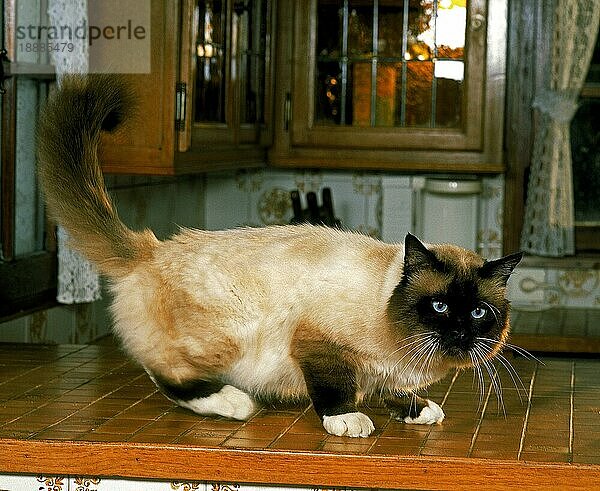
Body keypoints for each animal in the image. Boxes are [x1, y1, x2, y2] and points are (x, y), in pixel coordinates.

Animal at [38, 76, 520, 438]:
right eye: (438, 306)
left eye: (479, 312)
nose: (459, 332)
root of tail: (151, 248)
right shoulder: (318, 344)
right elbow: (334, 391)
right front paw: (347, 420)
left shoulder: (384, 372)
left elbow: (393, 391)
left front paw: (417, 411)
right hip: (228, 336)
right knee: (163, 371)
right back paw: (234, 403)